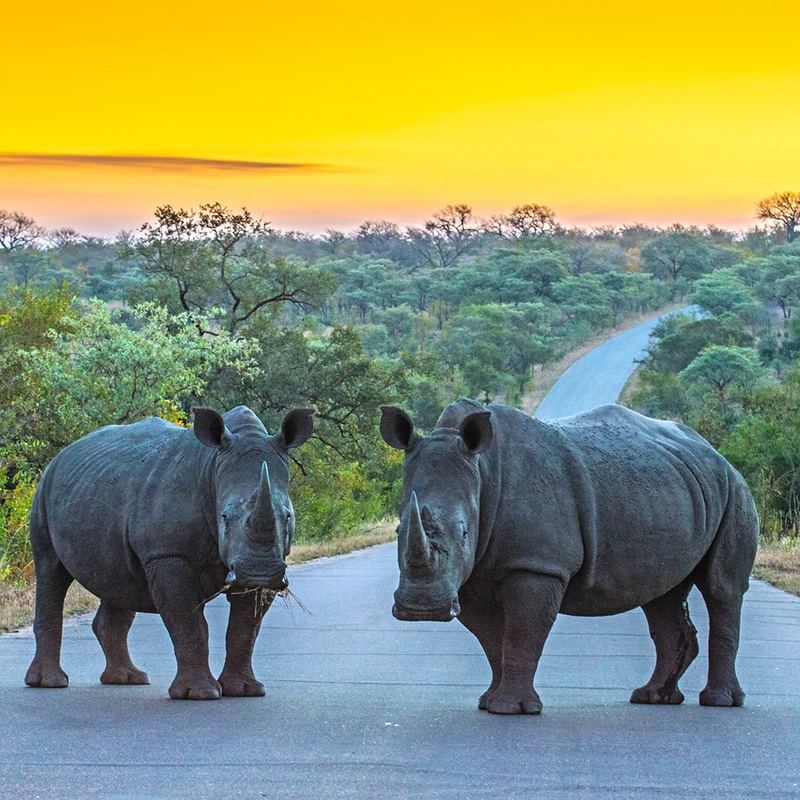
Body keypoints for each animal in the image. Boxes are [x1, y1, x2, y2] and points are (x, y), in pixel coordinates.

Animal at [25, 405, 313, 700]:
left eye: (287, 516)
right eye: (224, 517)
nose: (259, 573)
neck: (212, 469)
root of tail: (61, 455)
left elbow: (245, 629)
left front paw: (244, 690)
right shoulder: (167, 553)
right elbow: (189, 623)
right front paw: (200, 694)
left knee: (118, 581)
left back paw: (128, 679)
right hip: (44, 491)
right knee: (50, 570)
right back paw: (50, 683)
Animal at [380, 399, 759, 715]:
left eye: (462, 532)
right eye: (398, 530)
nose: (422, 609)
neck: (482, 472)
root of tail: (716, 453)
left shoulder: (539, 565)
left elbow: (521, 632)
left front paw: (511, 709)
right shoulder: (471, 575)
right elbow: (491, 638)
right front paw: (488, 702)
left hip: (735, 490)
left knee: (722, 589)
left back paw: (720, 702)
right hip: (675, 491)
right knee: (662, 596)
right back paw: (653, 697)